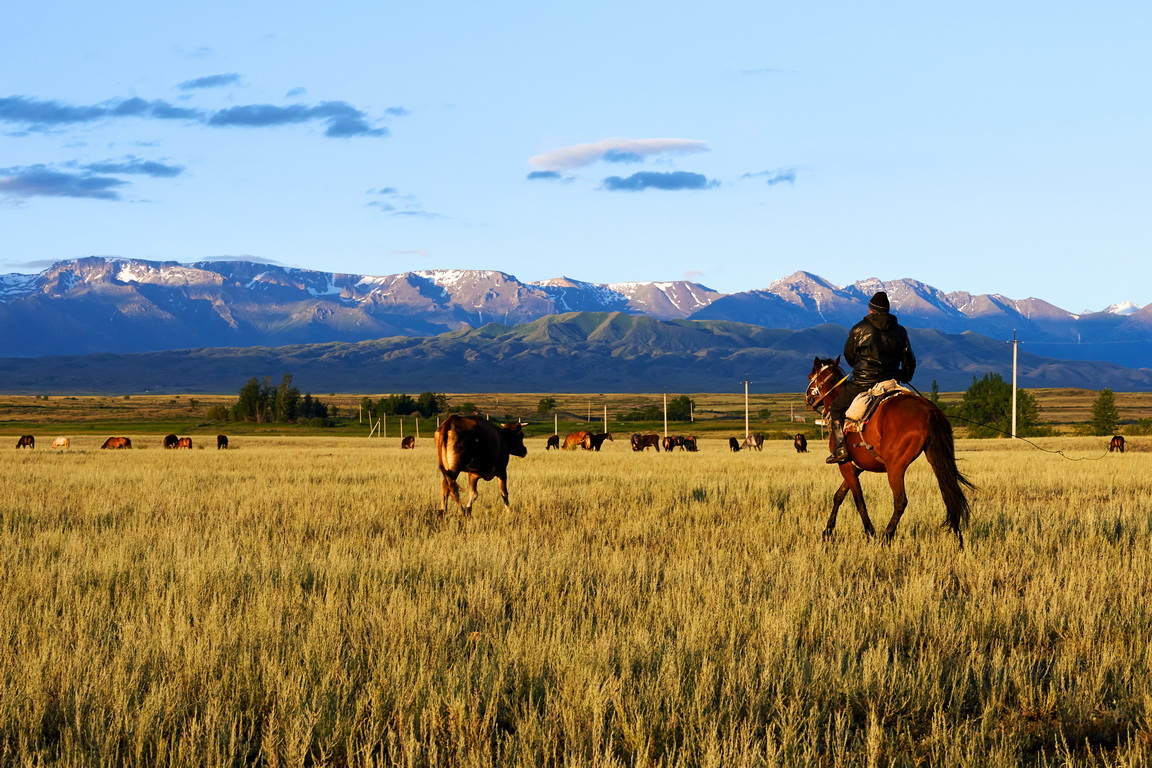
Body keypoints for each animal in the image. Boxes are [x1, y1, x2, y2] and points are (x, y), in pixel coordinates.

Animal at [806, 359, 976, 545]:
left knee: (901, 501)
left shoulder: (845, 465)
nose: (808, 398)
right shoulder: (856, 467)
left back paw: (886, 535)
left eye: (810, 376)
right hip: (936, 459)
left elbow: (858, 500)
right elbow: (839, 495)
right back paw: (958, 538)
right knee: (950, 494)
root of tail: (930, 410)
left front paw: (870, 532)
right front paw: (827, 530)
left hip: (895, 466)